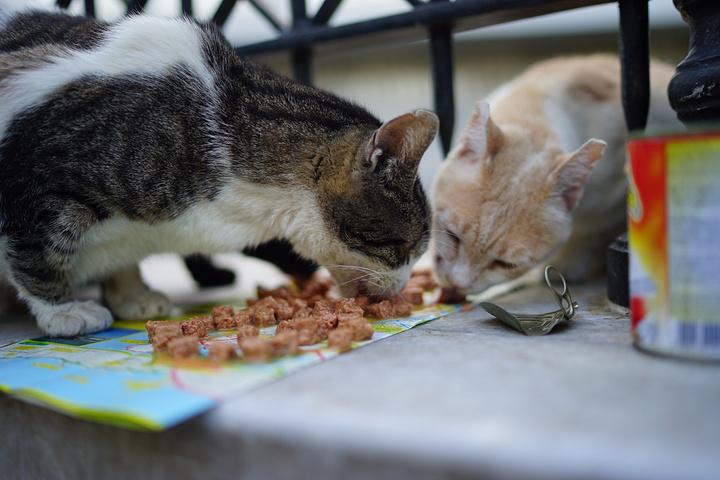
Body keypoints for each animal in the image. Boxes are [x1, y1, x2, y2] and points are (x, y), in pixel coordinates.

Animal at [0, 7, 438, 338]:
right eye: (406, 249)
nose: (403, 286)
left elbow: (120, 257)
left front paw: (131, 294)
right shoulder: (39, 179)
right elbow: (36, 253)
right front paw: (60, 311)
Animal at [430, 54, 676, 298]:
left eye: (505, 264)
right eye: (452, 236)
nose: (458, 284)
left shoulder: (617, 199)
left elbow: (588, 232)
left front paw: (565, 265)